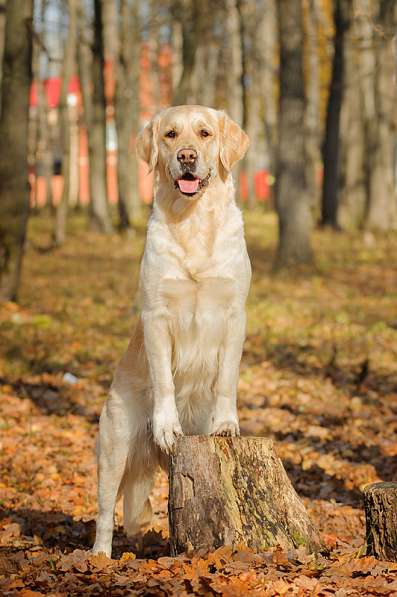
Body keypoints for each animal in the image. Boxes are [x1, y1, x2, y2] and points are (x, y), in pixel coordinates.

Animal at [93, 105, 251, 556]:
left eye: (204, 133)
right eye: (170, 134)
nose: (186, 156)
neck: (192, 223)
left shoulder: (234, 314)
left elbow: (226, 380)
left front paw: (226, 423)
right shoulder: (156, 316)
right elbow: (164, 378)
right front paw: (166, 425)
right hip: (113, 445)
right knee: (105, 512)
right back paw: (99, 558)